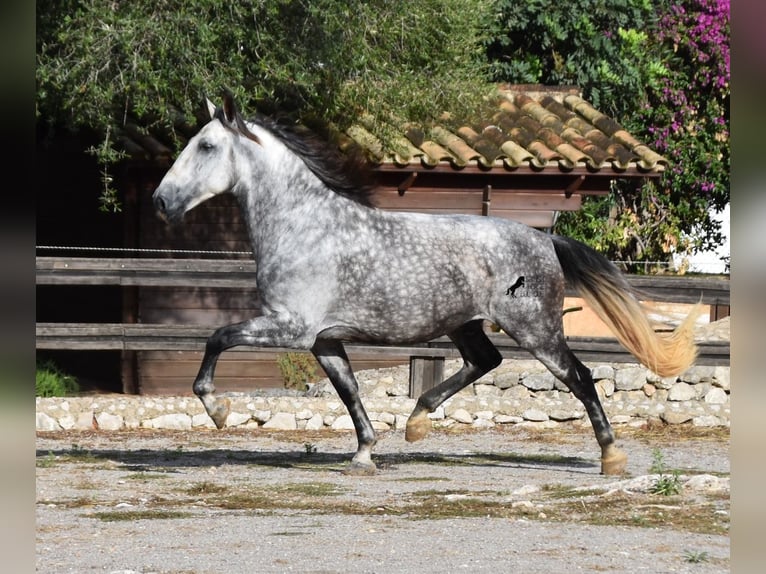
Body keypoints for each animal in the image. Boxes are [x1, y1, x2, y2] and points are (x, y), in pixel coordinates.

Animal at [152, 91, 704, 476]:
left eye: (206, 146)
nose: (161, 201)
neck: (306, 227)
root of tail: (545, 240)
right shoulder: (322, 339)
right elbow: (349, 392)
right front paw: (365, 454)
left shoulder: (289, 327)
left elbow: (217, 338)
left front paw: (218, 410)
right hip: (465, 324)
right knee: (486, 361)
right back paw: (416, 423)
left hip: (536, 330)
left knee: (579, 377)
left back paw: (612, 458)